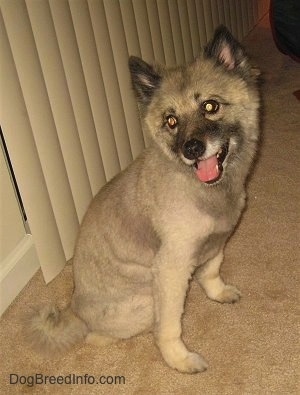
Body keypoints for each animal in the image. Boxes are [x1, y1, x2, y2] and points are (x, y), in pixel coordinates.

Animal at [29, 25, 262, 374]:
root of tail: (74, 308)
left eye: (210, 106)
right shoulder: (171, 269)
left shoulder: (216, 242)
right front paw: (179, 359)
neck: (201, 186)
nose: (192, 148)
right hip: (146, 299)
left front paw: (218, 293)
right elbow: (169, 327)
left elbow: (211, 271)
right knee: (97, 335)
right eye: (171, 121)